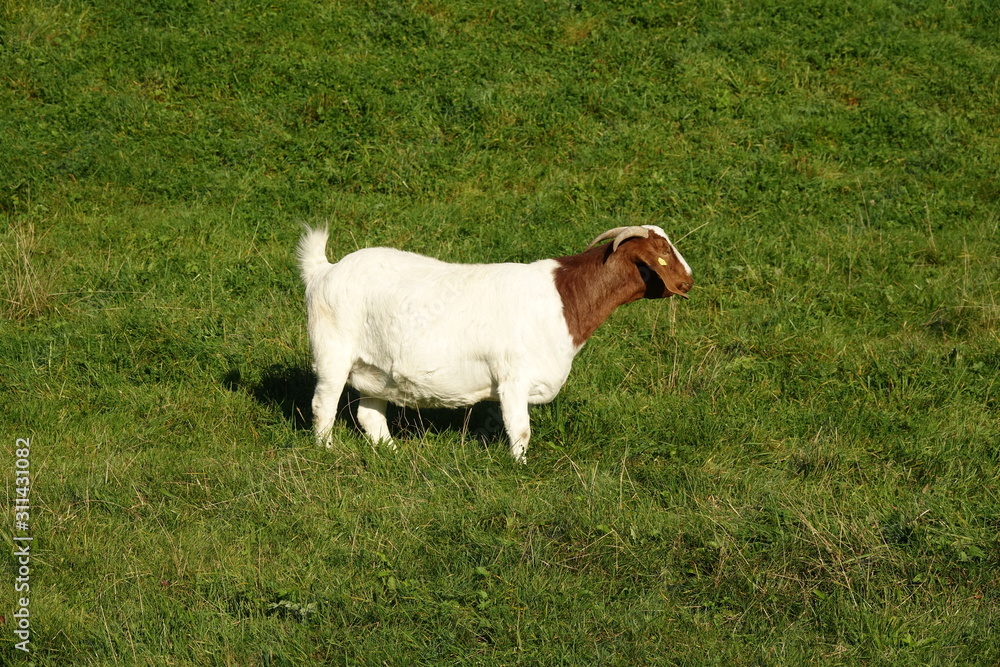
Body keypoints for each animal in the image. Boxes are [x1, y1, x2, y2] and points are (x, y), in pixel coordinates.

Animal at [297, 225, 693, 463]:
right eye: (662, 250)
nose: (689, 280)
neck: (564, 299)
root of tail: (324, 270)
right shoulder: (513, 376)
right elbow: (520, 429)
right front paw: (520, 467)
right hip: (333, 354)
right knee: (323, 406)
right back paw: (326, 451)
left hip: (377, 371)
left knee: (369, 415)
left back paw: (394, 454)